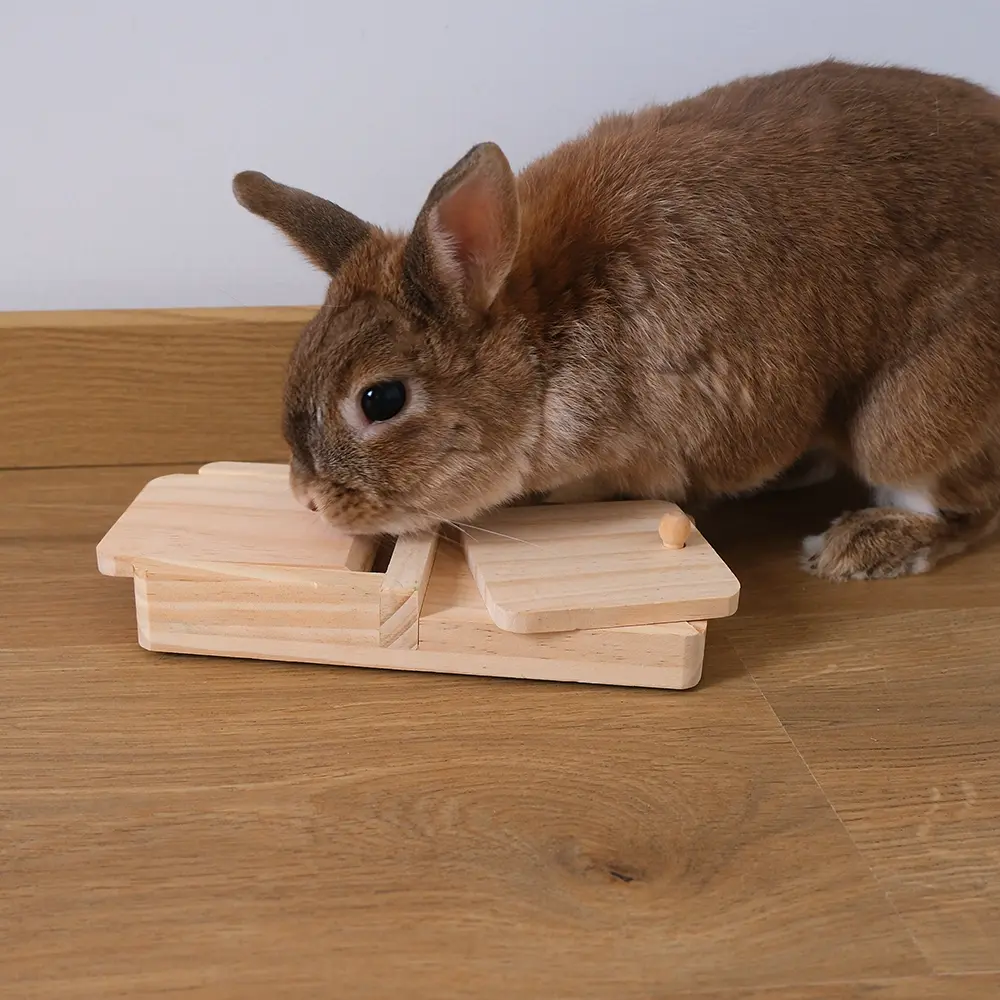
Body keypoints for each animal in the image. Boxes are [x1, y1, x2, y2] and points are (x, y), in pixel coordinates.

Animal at [232, 58, 1000, 582]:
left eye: (381, 398)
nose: (309, 501)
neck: (542, 345)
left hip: (911, 415)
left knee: (963, 506)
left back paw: (859, 546)